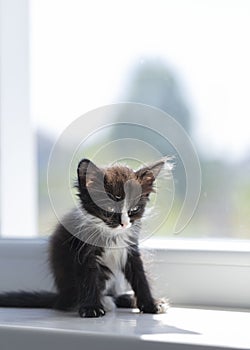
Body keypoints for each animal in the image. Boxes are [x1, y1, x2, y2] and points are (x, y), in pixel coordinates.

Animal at [0, 159, 169, 318]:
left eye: (134, 209)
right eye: (110, 208)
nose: (124, 224)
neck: (111, 235)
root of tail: (61, 297)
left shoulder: (130, 248)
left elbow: (140, 276)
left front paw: (150, 304)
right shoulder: (83, 249)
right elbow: (88, 277)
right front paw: (91, 308)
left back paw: (126, 299)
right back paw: (105, 302)